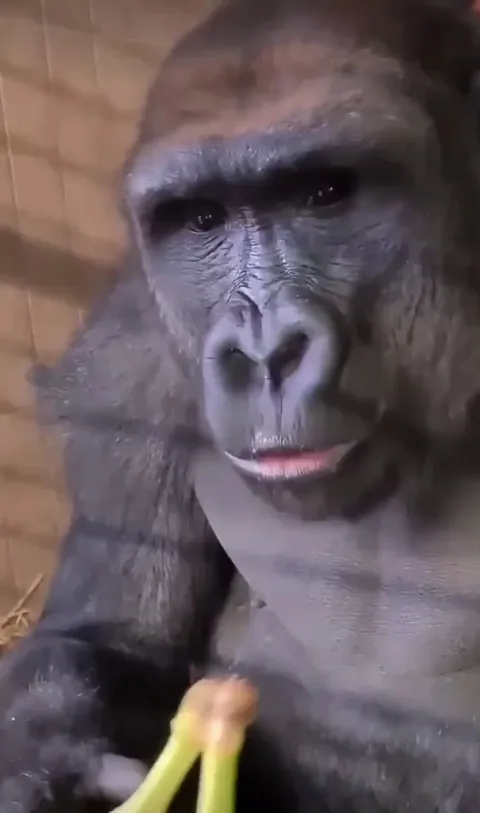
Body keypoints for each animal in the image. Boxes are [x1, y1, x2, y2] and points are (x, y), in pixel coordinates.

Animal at [3, 0, 480, 810]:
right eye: (202, 219)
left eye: (325, 193)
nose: (266, 351)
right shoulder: (125, 354)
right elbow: (113, 637)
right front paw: (47, 756)